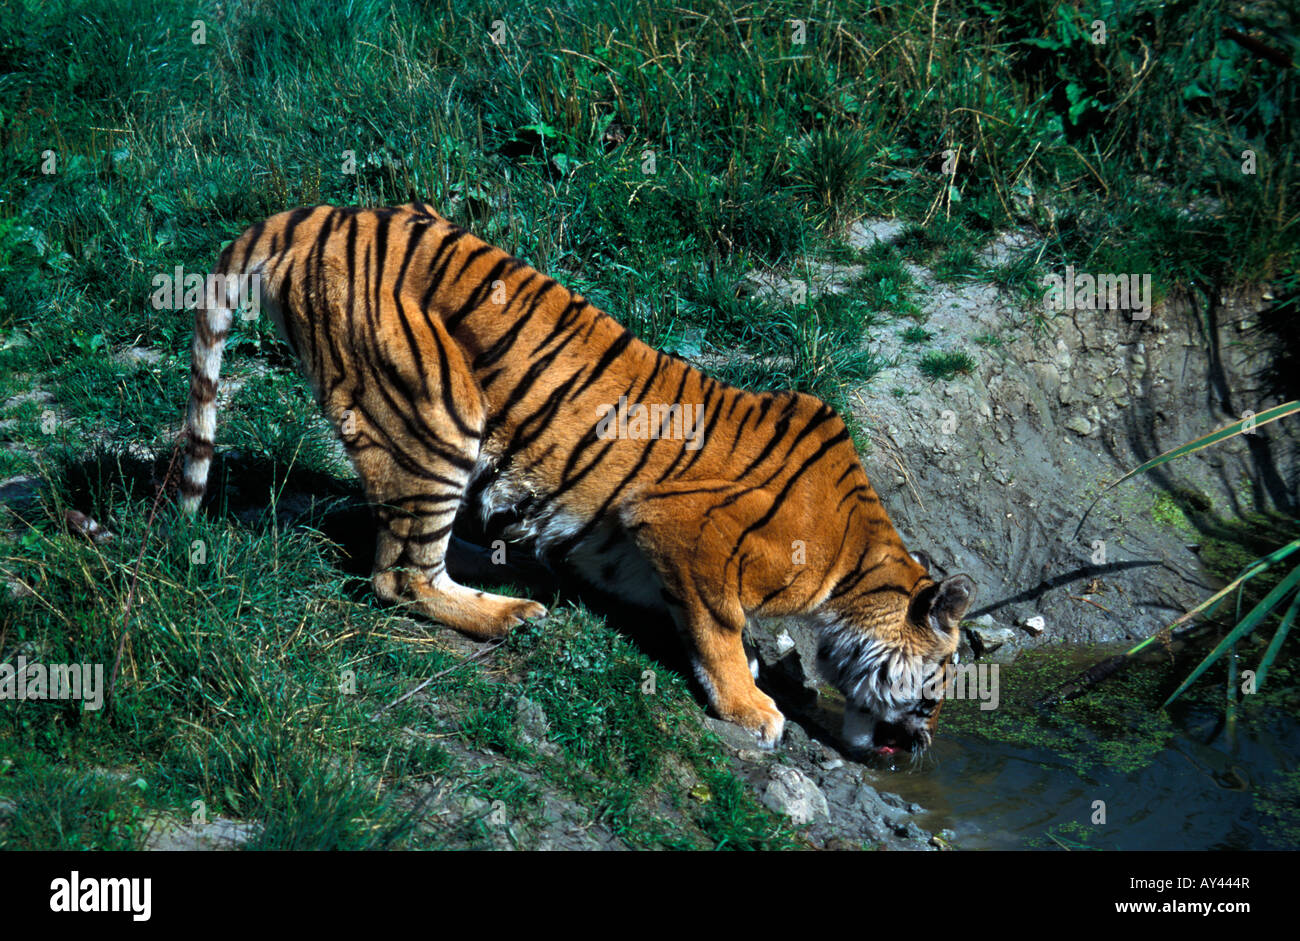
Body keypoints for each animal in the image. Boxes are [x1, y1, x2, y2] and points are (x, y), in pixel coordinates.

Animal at [183, 202, 977, 753]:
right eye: (934, 694)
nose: (923, 744)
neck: (853, 575)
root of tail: (323, 213)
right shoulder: (689, 532)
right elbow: (719, 627)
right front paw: (752, 706)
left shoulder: (630, 547)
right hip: (438, 417)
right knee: (399, 575)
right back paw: (507, 614)